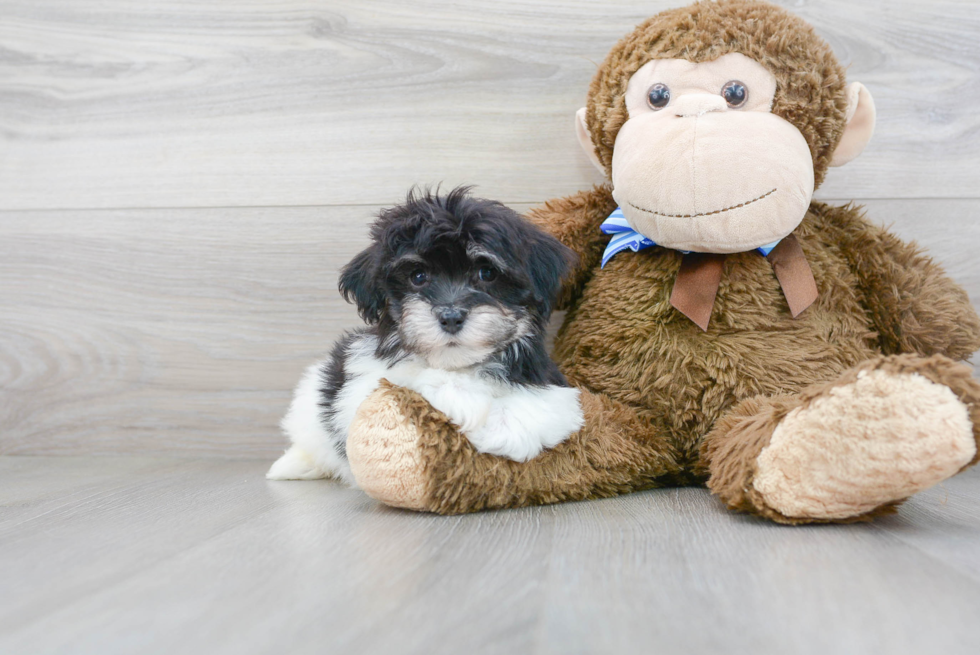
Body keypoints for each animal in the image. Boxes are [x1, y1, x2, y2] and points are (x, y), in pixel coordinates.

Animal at [268, 187, 584, 484]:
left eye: (487, 273)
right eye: (418, 276)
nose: (451, 316)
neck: (458, 364)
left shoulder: (550, 384)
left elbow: (543, 406)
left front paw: (504, 430)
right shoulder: (365, 381)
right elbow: (419, 377)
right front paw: (469, 404)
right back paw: (292, 465)